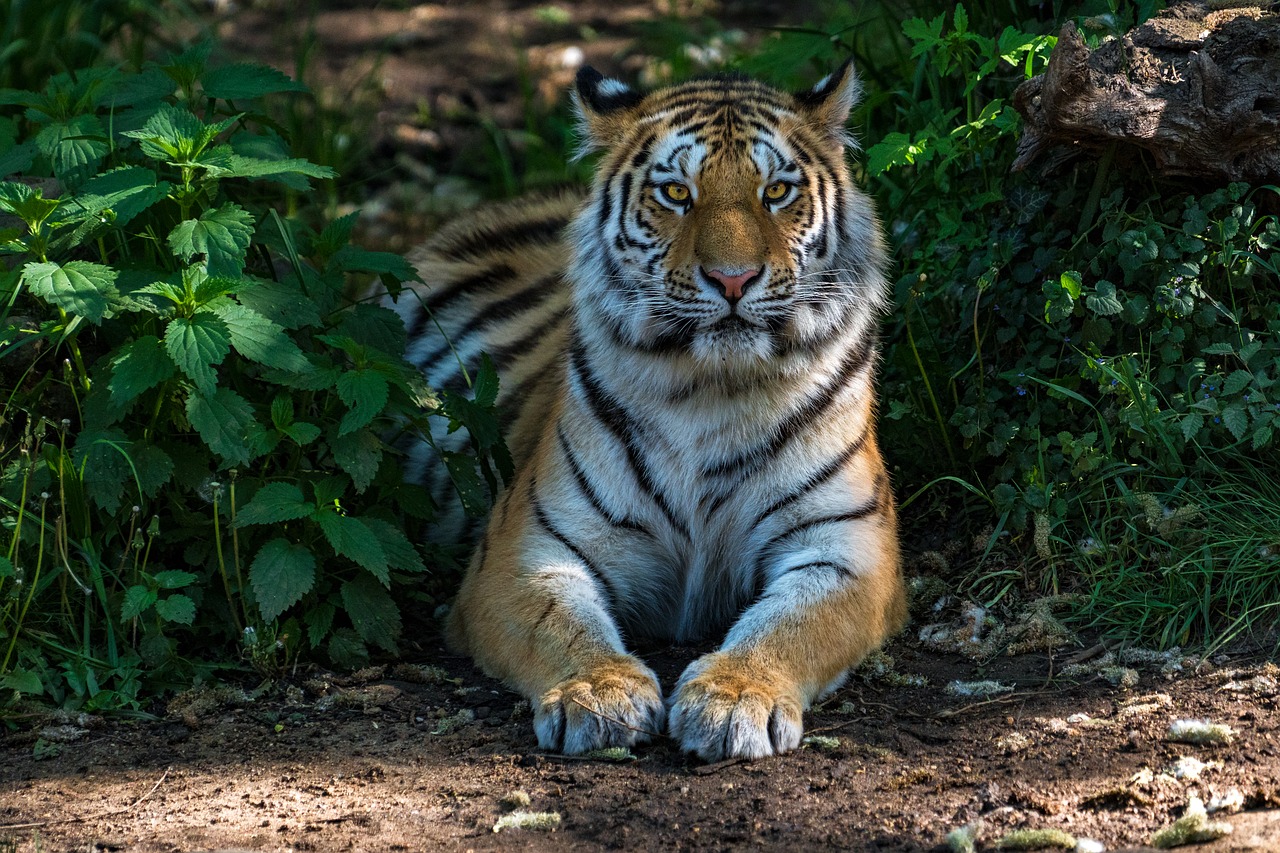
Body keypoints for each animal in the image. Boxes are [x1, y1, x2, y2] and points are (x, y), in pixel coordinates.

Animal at [394, 59, 906, 758]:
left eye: (776, 192)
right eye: (675, 194)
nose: (733, 279)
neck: (712, 390)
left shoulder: (847, 545)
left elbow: (794, 625)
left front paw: (735, 697)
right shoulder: (524, 549)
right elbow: (559, 624)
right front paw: (598, 692)